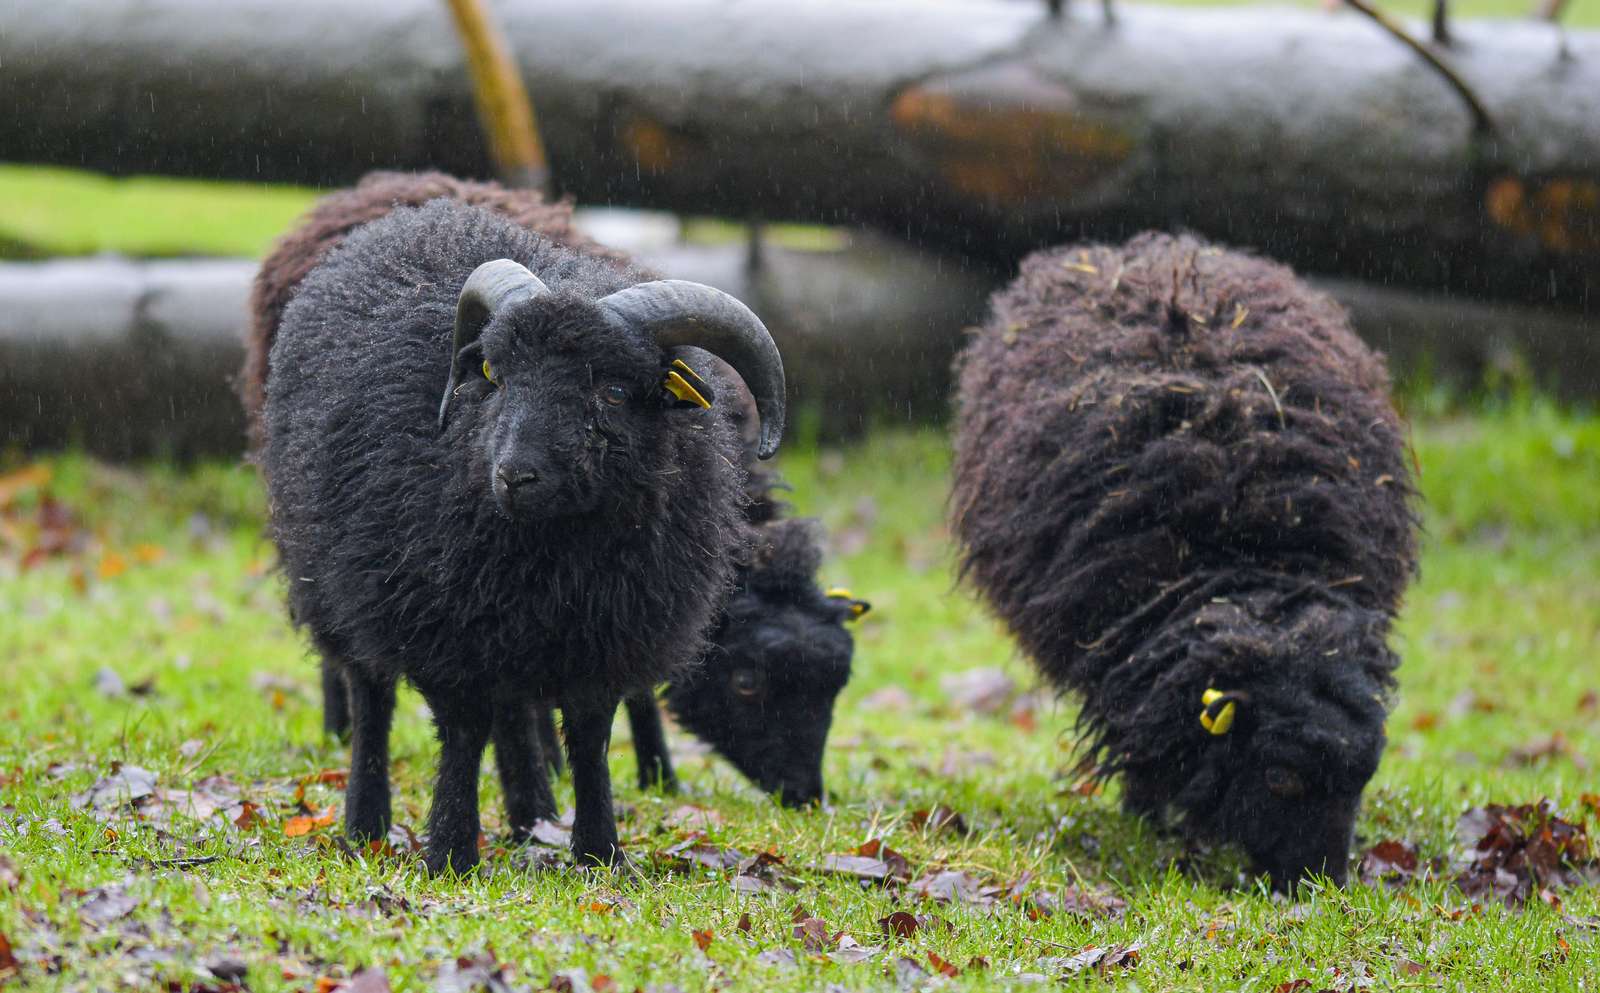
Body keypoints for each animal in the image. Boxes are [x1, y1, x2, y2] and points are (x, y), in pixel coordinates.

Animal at [947, 235, 1414, 889]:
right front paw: (1148, 812)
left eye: (1363, 778)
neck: (1253, 569)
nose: (1318, 885)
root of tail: (1149, 250)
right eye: (1279, 776)